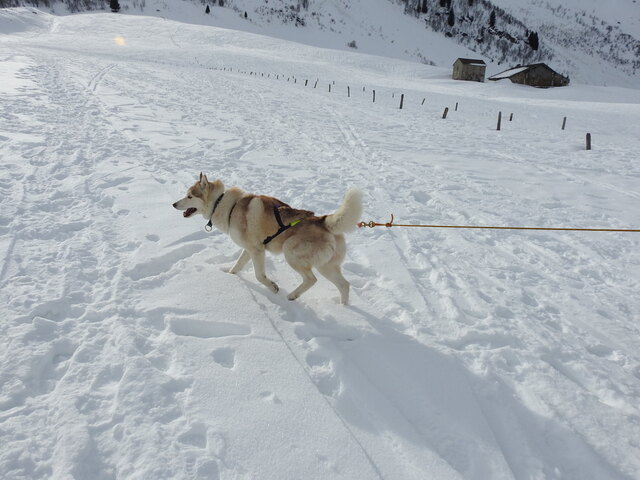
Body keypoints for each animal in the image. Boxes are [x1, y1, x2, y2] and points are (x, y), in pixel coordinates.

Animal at [172, 173, 362, 304]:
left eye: (189, 196)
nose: (173, 204)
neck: (222, 203)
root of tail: (323, 221)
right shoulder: (248, 250)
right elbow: (237, 266)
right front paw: (230, 276)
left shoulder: (257, 250)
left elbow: (259, 276)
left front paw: (273, 287)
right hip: (326, 266)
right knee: (344, 285)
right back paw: (344, 308)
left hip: (290, 251)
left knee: (311, 279)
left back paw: (292, 296)